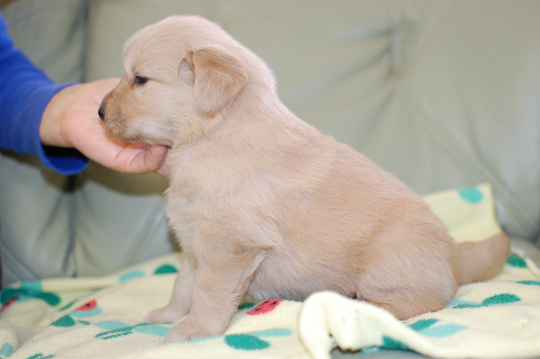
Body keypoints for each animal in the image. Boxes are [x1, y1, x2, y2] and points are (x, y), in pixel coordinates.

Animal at [98, 16, 510, 344]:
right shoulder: (194, 241)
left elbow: (208, 292)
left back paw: (360, 307)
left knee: (421, 302)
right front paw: (168, 314)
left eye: (140, 79)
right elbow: (183, 284)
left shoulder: (229, 246)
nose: (98, 111)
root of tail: (454, 258)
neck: (214, 134)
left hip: (388, 259)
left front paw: (193, 331)